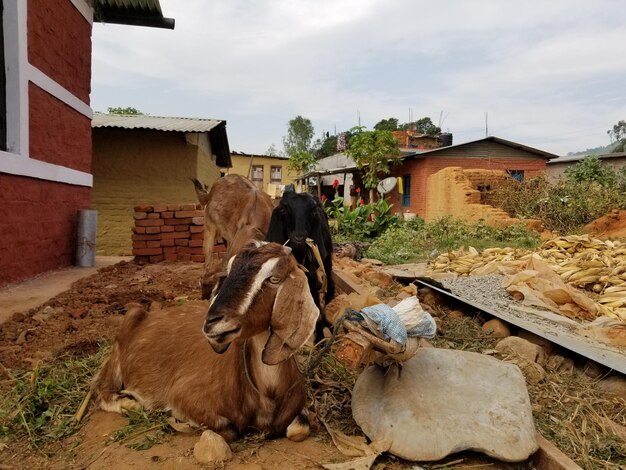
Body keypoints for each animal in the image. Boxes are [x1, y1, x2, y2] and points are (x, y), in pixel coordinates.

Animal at [91, 242, 316, 444]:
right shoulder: (183, 394)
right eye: (228, 273)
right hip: (121, 341)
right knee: (101, 389)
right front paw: (178, 419)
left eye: (274, 278)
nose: (212, 321)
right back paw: (129, 404)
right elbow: (229, 430)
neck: (269, 393)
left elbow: (299, 429)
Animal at [264, 191, 334, 342]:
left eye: (312, 212)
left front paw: (319, 339)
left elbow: (316, 306)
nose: (299, 238)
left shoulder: (311, 274)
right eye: (284, 210)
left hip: (326, 259)